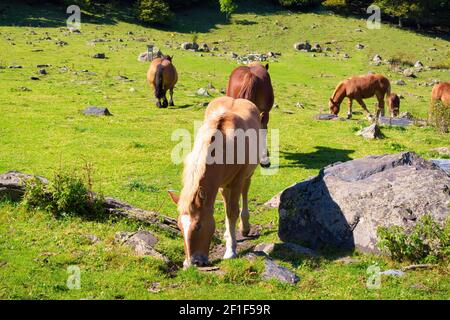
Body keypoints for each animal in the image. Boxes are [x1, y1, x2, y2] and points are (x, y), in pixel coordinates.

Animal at [169, 97, 262, 268]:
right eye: (179, 226)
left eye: (198, 226)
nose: (192, 263)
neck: (225, 144)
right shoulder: (219, 183)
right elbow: (227, 211)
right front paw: (229, 238)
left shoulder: (238, 180)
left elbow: (232, 211)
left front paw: (230, 251)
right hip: (224, 185)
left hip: (247, 175)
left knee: (245, 191)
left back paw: (244, 226)